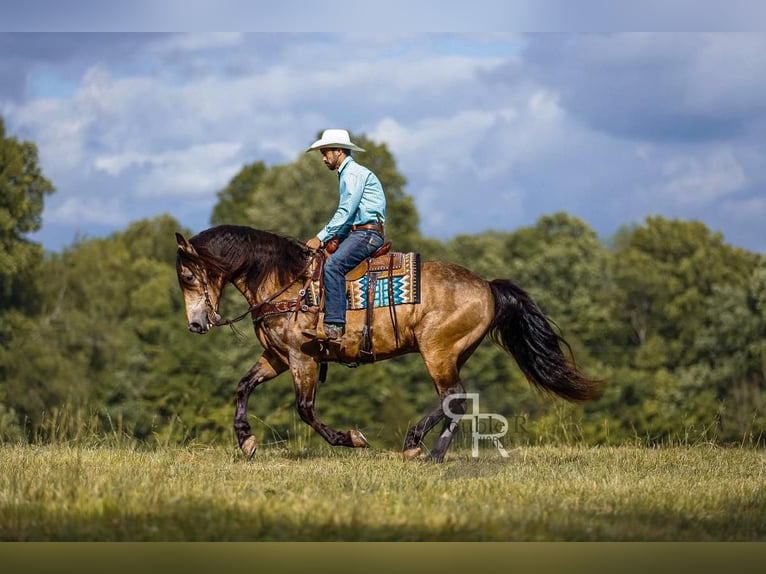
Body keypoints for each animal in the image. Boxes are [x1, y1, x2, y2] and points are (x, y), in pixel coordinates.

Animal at [176, 225, 608, 464]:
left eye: (188, 276)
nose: (196, 324)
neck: (286, 282)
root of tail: (487, 286)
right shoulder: (277, 356)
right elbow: (243, 387)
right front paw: (246, 440)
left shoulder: (302, 358)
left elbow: (305, 409)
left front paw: (351, 439)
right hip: (452, 354)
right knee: (456, 398)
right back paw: (426, 448)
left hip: (438, 352)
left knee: (454, 397)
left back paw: (423, 448)